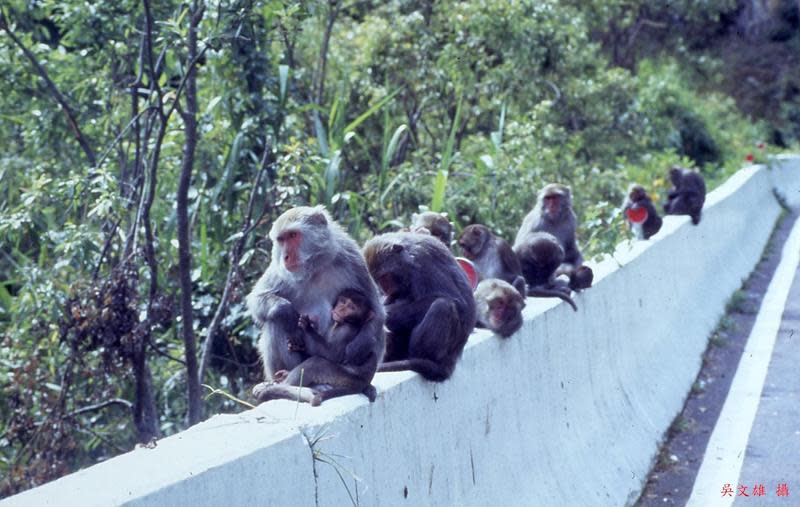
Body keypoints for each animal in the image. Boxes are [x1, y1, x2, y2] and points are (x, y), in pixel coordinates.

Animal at [248, 204, 386, 406]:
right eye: (281, 240)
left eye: (293, 235)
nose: (286, 256)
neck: (315, 267)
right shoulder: (279, 269)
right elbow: (257, 299)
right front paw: (286, 310)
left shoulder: (352, 257)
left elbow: (376, 311)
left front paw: (359, 346)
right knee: (275, 322)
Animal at [362, 232, 476, 382]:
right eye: (377, 280)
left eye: (385, 278)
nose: (385, 290)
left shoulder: (423, 265)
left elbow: (455, 300)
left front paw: (387, 314)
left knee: (443, 305)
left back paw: (423, 357)